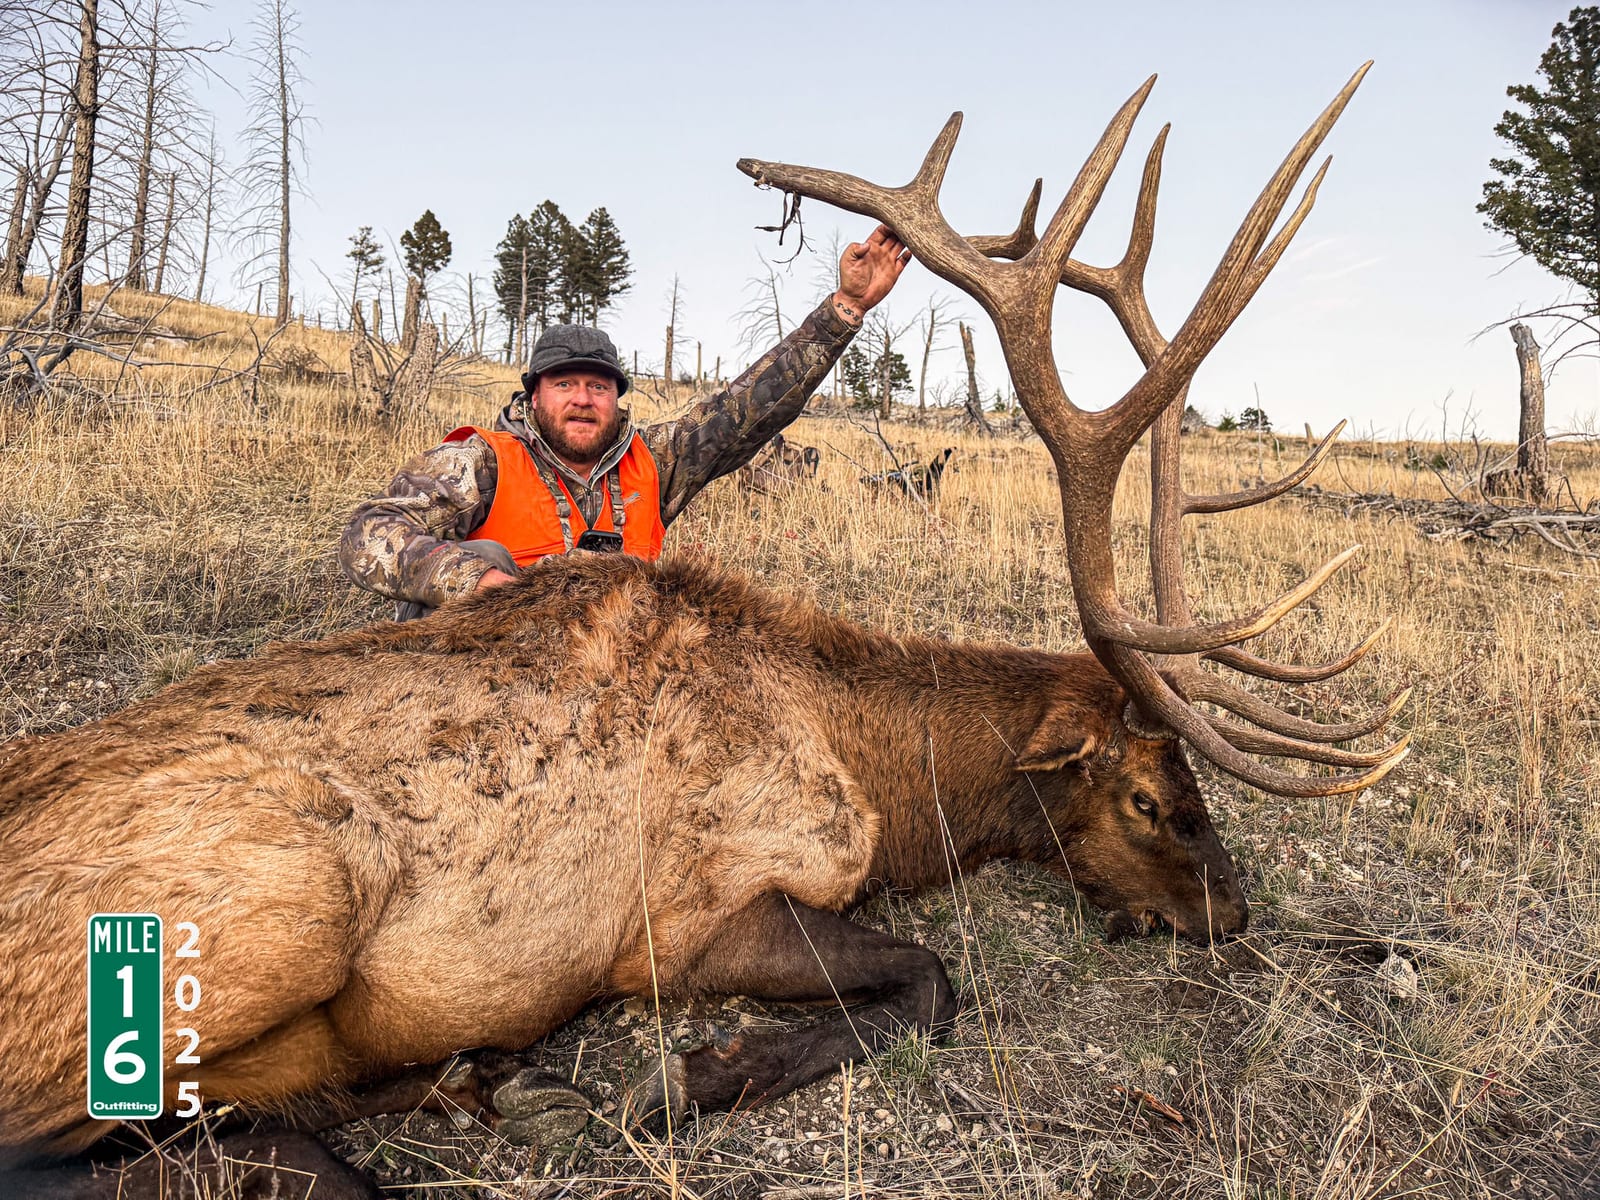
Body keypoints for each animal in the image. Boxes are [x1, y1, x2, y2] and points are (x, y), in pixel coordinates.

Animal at [0, 66, 1408, 1197]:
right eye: (1152, 803)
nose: (1232, 911)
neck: (886, 775)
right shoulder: (690, 913)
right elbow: (926, 979)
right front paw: (674, 1082)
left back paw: (466, 1078)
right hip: (278, 911)